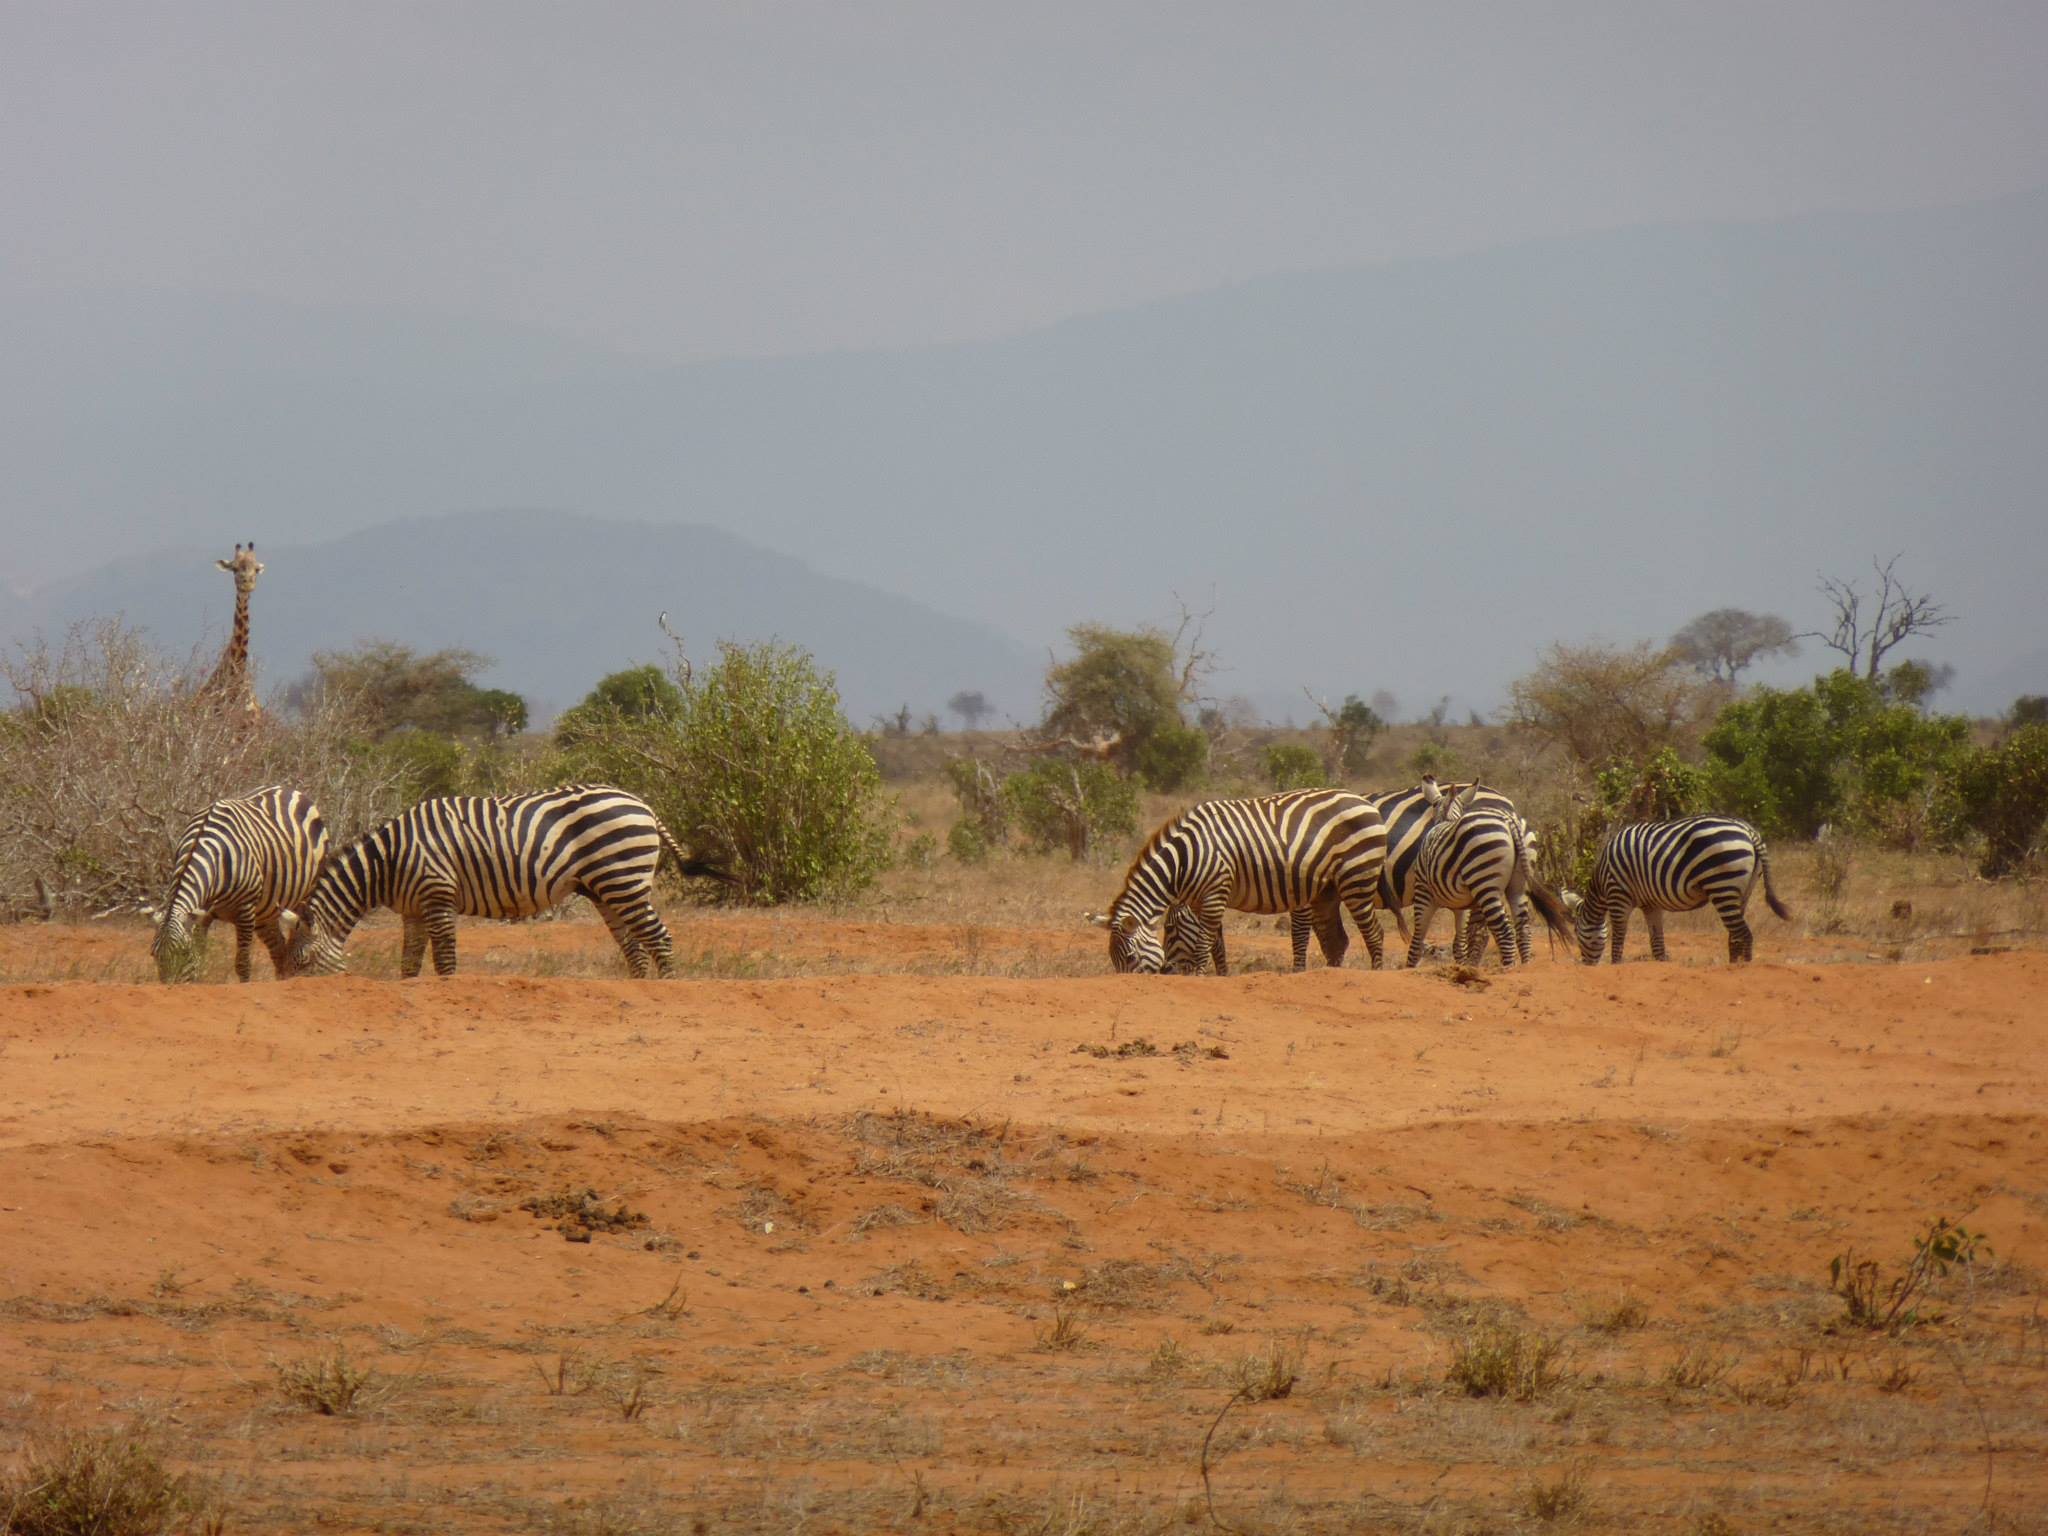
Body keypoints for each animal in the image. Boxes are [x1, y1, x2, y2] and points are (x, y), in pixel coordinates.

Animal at [150, 786, 329, 983]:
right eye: (154, 955)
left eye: (183, 953)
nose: (170, 986)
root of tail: (286, 788)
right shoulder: (204, 913)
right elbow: (200, 958)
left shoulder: (245, 911)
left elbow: (242, 963)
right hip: (265, 912)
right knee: (279, 950)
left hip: (305, 893)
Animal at [283, 785, 729, 979]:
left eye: (302, 963)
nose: (292, 999)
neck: (387, 863)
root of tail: (642, 804)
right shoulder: (412, 910)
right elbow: (409, 963)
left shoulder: (437, 895)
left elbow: (445, 959)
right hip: (606, 887)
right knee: (633, 944)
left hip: (623, 878)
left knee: (658, 937)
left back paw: (665, 991)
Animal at [1095, 790, 1388, 974]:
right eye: (1114, 960)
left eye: (1130, 958)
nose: (1165, 973)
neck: (1186, 858)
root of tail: (1365, 802)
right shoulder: (1203, 901)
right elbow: (1217, 945)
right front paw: (1221, 975)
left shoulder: (1214, 893)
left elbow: (1203, 943)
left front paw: (1199, 975)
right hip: (1327, 891)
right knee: (1336, 940)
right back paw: (1329, 976)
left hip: (1357, 877)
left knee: (1374, 932)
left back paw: (1376, 973)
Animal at [1405, 784, 1571, 968]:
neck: (1446, 820)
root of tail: (1508, 818)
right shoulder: (1465, 904)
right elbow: (1464, 940)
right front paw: (1464, 967)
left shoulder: (1423, 891)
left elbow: (1418, 939)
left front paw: (1411, 968)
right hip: (1517, 882)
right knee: (1523, 929)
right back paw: (1525, 966)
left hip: (1484, 880)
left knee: (1505, 930)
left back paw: (1508, 969)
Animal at [1567, 816, 1792, 964]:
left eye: (1577, 933)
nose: (1587, 965)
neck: (1602, 880)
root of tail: (1750, 832)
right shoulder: (1651, 904)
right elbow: (1657, 941)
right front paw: (1661, 962)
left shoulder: (1618, 896)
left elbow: (1619, 936)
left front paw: (1615, 965)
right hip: (1743, 890)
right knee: (1735, 933)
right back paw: (1732, 966)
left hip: (1721, 884)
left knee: (1744, 933)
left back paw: (1743, 969)